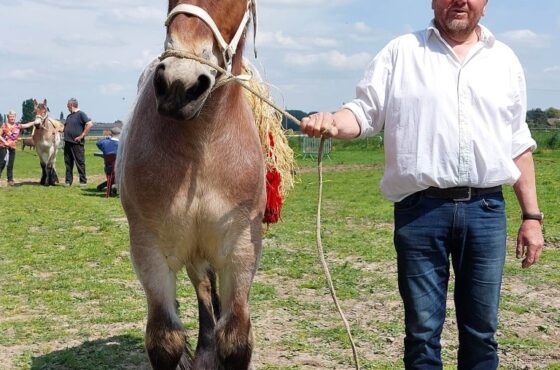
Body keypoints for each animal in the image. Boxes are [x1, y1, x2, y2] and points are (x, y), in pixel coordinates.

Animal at [116, 1, 264, 368]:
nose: (178, 84)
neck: (201, 149)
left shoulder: (241, 247)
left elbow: (236, 338)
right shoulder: (150, 248)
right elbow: (164, 340)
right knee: (202, 291)